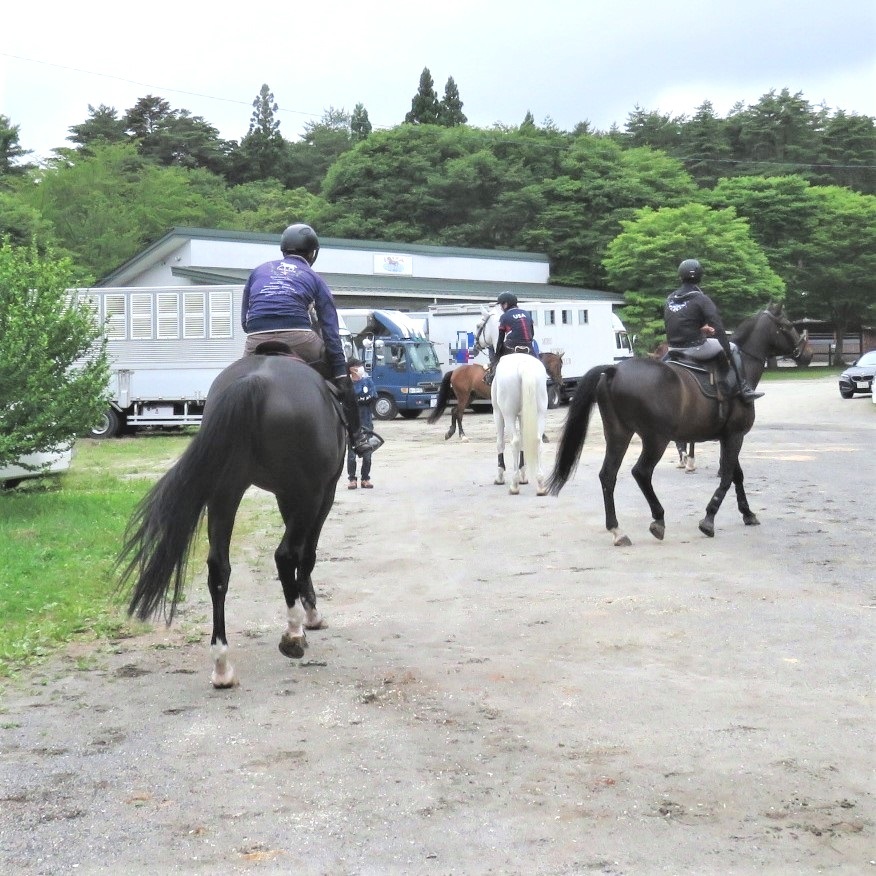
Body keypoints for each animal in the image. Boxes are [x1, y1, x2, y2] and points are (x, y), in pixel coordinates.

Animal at [115, 352, 346, 688]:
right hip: (306, 493)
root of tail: (255, 381)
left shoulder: (286, 495)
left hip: (225, 492)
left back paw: (222, 665)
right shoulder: (322, 492)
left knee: (219, 570)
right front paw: (311, 614)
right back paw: (292, 633)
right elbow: (307, 554)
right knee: (285, 555)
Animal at [428, 352, 564, 442]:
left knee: (454, 411)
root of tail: (455, 371)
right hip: (463, 396)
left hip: (470, 396)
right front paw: (542, 436)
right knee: (459, 413)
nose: (560, 382)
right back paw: (462, 435)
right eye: (559, 365)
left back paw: (450, 433)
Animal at [492, 352, 548, 496]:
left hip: (508, 415)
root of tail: (523, 365)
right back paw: (540, 484)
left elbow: (500, 443)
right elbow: (524, 443)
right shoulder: (523, 416)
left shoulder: (497, 413)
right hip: (540, 413)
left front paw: (500, 476)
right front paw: (524, 475)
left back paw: (514, 484)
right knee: (537, 441)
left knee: (515, 442)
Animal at [552, 304, 812, 544]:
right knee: (641, 472)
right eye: (787, 325)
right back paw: (658, 519)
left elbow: (736, 475)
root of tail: (613, 370)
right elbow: (727, 477)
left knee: (608, 475)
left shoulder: (728, 437)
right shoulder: (735, 436)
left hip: (618, 435)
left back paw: (617, 530)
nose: (807, 353)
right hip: (655, 440)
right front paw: (709, 519)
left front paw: (747, 513)